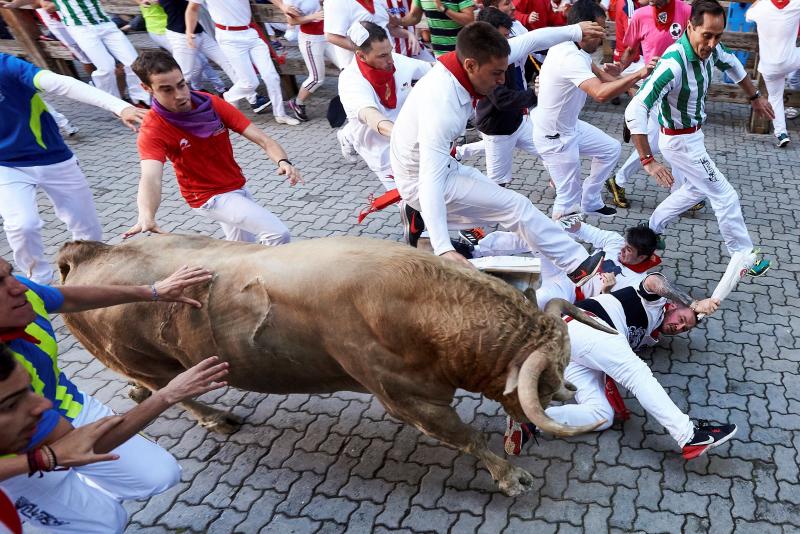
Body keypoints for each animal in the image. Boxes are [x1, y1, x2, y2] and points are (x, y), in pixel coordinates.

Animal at [57, 236, 612, 498]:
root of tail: (89, 254)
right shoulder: (411, 400)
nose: (564, 393)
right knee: (166, 391)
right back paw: (217, 417)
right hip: (147, 362)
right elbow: (469, 438)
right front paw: (511, 477)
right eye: (547, 375)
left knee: (143, 391)